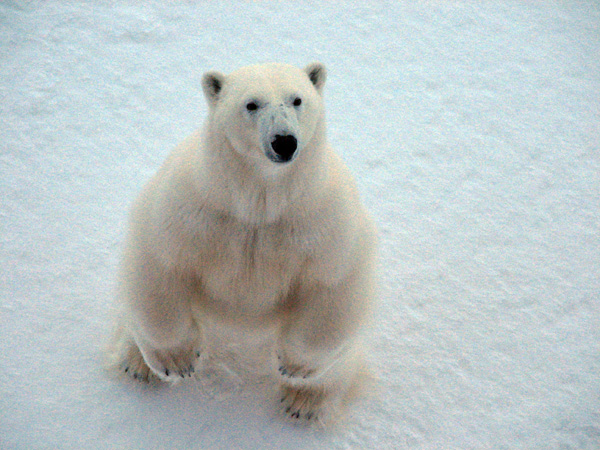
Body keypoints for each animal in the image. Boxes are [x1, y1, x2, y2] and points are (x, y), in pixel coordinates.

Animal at [109, 61, 376, 424]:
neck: (257, 202)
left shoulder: (319, 219)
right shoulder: (194, 209)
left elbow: (333, 283)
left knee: (340, 361)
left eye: (297, 99)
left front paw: (294, 368)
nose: (284, 142)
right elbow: (161, 264)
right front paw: (177, 361)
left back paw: (304, 402)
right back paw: (137, 364)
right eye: (251, 104)